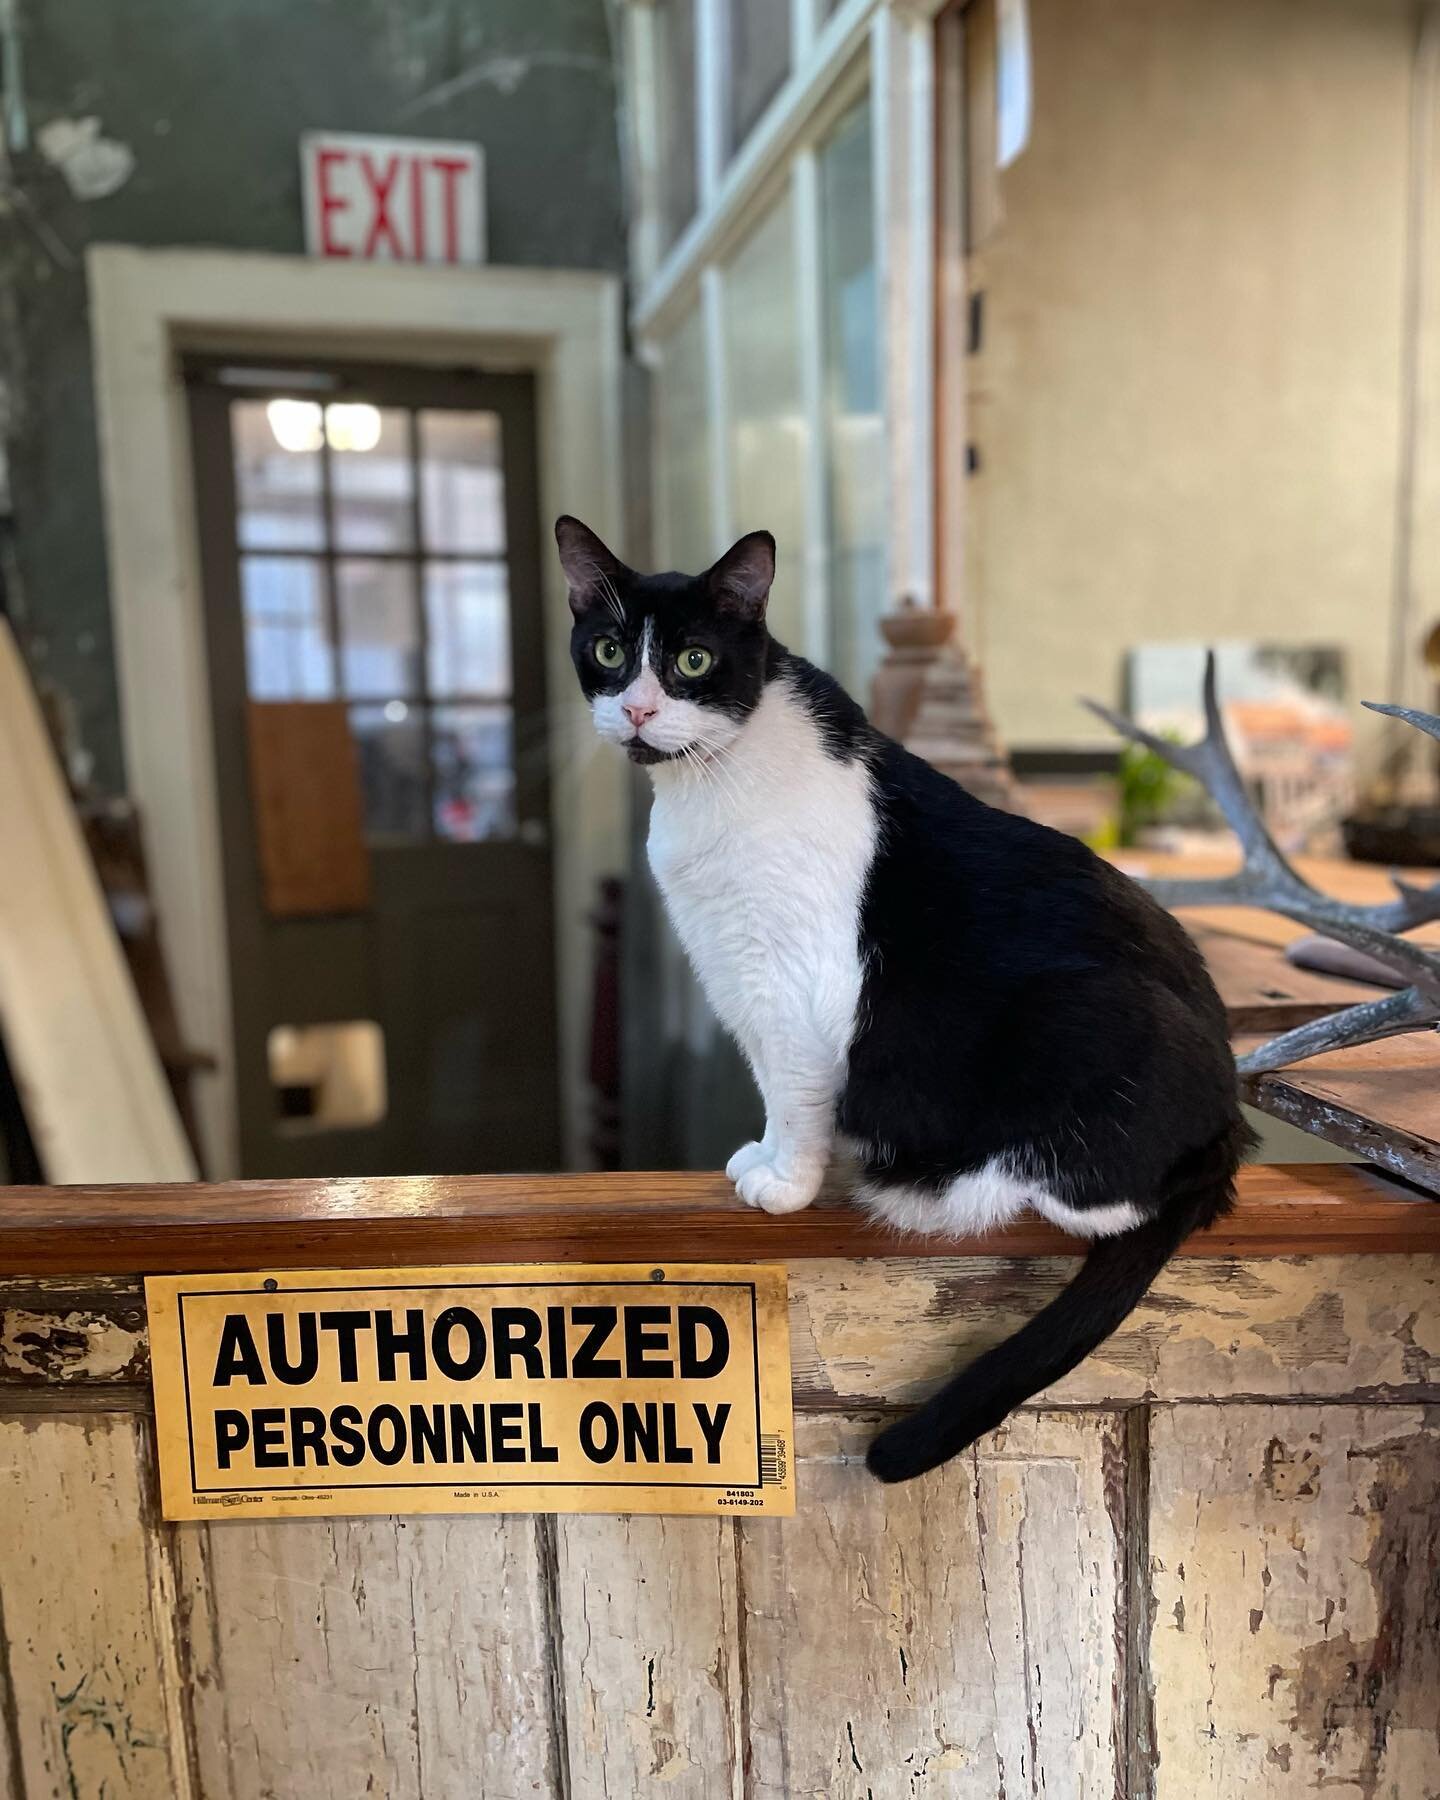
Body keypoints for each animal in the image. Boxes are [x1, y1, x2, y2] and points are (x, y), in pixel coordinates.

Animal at [558, 514, 1252, 1483]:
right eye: (611, 650)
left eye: (693, 660)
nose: (639, 710)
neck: (706, 785)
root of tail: (1230, 1118)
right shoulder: (742, 974)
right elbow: (774, 1086)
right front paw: (765, 1157)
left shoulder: (794, 982)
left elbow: (800, 1091)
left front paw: (790, 1183)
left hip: (1080, 1018)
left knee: (1122, 1199)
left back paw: (954, 1188)